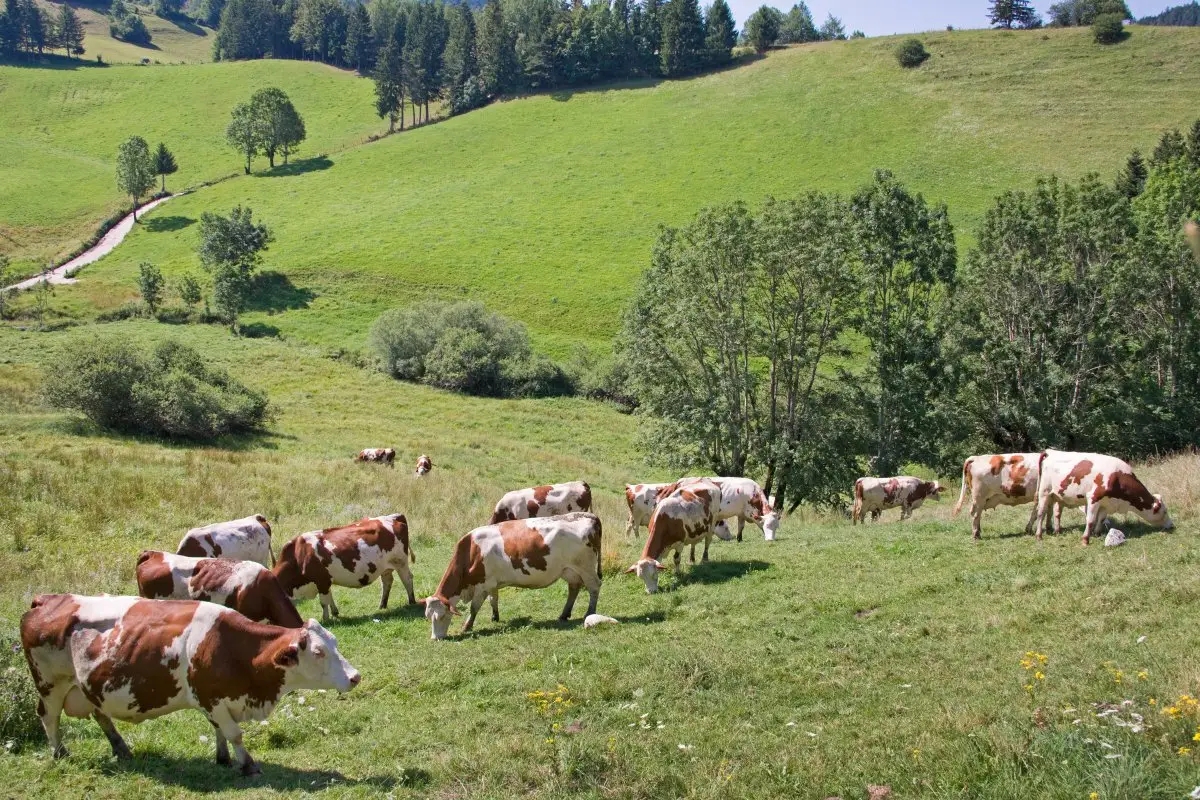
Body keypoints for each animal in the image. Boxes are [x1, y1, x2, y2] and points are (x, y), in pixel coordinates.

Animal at [21, 594, 357, 777]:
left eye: (335, 642)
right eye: (319, 652)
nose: (355, 676)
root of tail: (46, 599)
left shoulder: (216, 699)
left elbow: (220, 730)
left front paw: (223, 759)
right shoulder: (212, 697)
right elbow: (234, 733)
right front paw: (247, 764)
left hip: (87, 687)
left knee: (100, 714)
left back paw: (121, 748)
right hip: (50, 684)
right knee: (49, 717)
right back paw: (60, 752)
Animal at [273, 513, 417, 623]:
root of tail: (394, 516)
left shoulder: (321, 580)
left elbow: (323, 602)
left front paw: (326, 619)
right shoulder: (325, 581)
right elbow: (329, 597)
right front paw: (335, 612)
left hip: (401, 562)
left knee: (407, 579)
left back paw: (412, 602)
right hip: (385, 567)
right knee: (387, 582)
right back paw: (382, 605)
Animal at [424, 515, 609, 642]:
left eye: (441, 616)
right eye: (427, 616)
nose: (435, 639)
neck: (472, 549)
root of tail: (588, 515)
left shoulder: (483, 585)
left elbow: (474, 608)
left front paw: (466, 626)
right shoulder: (492, 583)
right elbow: (494, 599)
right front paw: (495, 617)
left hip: (585, 567)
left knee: (594, 586)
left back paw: (589, 612)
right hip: (569, 570)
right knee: (574, 588)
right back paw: (564, 614)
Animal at [1032, 450, 1171, 544]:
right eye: (1165, 511)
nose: (1172, 525)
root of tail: (1051, 451)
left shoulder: (1106, 503)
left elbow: (1101, 518)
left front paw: (1097, 534)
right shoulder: (1094, 498)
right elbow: (1090, 520)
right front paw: (1085, 540)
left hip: (1056, 496)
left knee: (1054, 513)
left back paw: (1056, 531)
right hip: (1044, 492)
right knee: (1041, 513)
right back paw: (1039, 535)